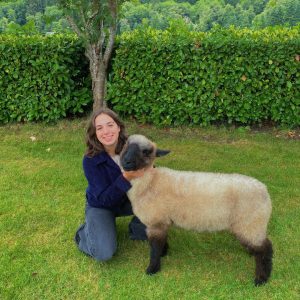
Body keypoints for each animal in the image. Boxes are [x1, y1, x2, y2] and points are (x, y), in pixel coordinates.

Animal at [119, 134, 272, 286]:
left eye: (146, 152)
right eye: (126, 145)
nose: (126, 162)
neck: (150, 182)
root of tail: (264, 191)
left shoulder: (156, 222)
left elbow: (155, 248)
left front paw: (152, 269)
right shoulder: (163, 221)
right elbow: (162, 242)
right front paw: (164, 253)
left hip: (251, 223)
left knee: (265, 249)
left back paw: (261, 279)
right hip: (250, 225)